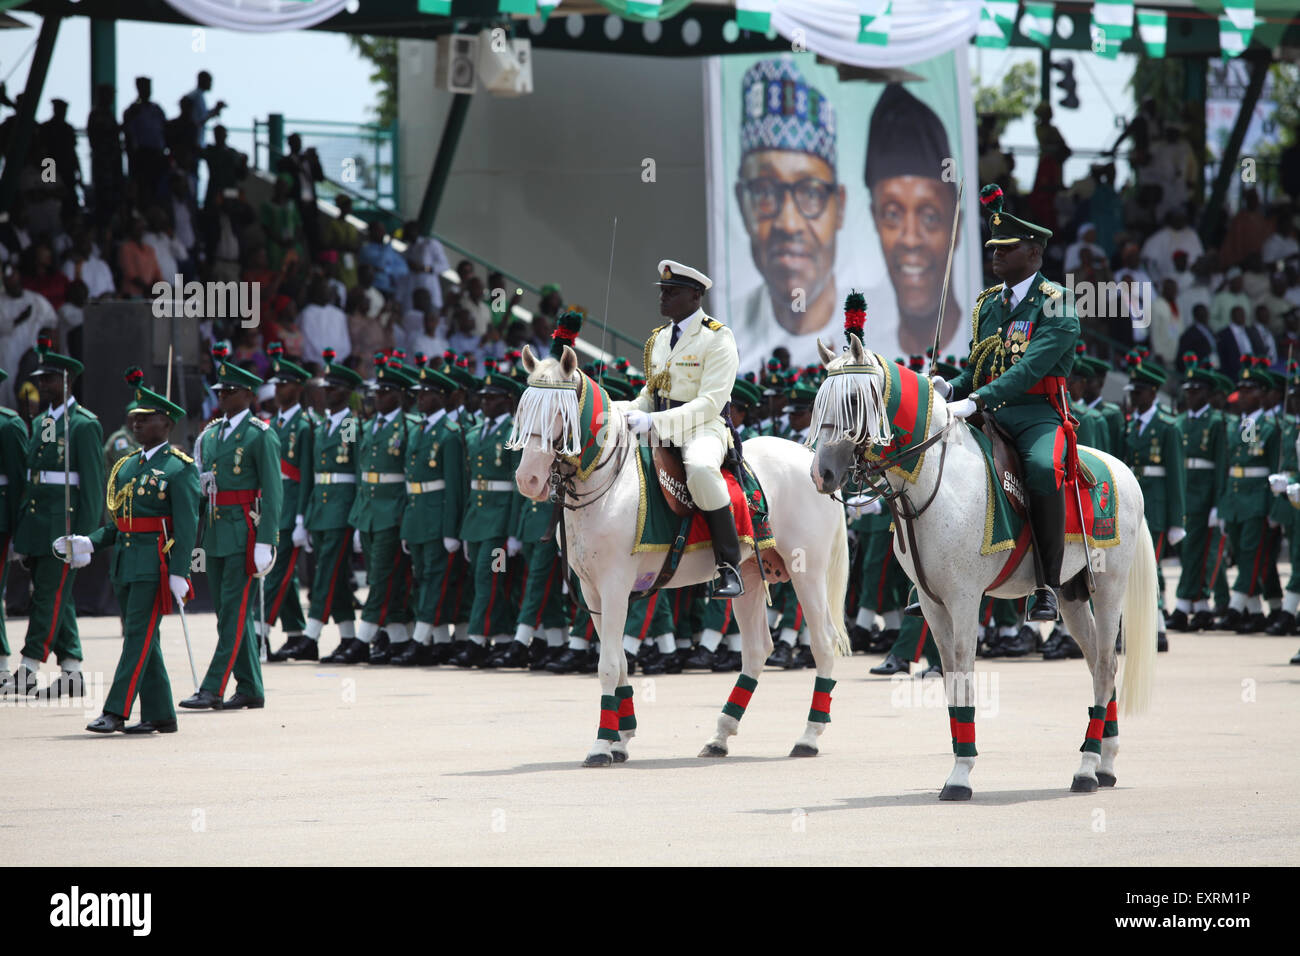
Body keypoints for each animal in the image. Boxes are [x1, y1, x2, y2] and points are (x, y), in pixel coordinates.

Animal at [506, 348, 852, 764]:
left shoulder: (615, 586)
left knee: (823, 642)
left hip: (808, 573)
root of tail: (811, 459)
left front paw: (602, 745)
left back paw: (809, 736)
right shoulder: (593, 591)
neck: (608, 485)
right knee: (756, 650)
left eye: (561, 414)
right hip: (751, 575)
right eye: (523, 410)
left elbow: (608, 665)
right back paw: (720, 735)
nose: (527, 480)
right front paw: (621, 738)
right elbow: (620, 662)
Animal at [811, 335, 1159, 801]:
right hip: (1071, 594)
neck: (934, 481)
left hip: (1108, 590)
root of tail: (1123, 472)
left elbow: (964, 670)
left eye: (852, 399)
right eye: (819, 401)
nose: (822, 473)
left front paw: (961, 773)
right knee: (1097, 665)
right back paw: (1104, 762)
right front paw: (959, 762)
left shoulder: (964, 598)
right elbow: (949, 674)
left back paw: (1086, 768)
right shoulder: (932, 603)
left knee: (1104, 666)